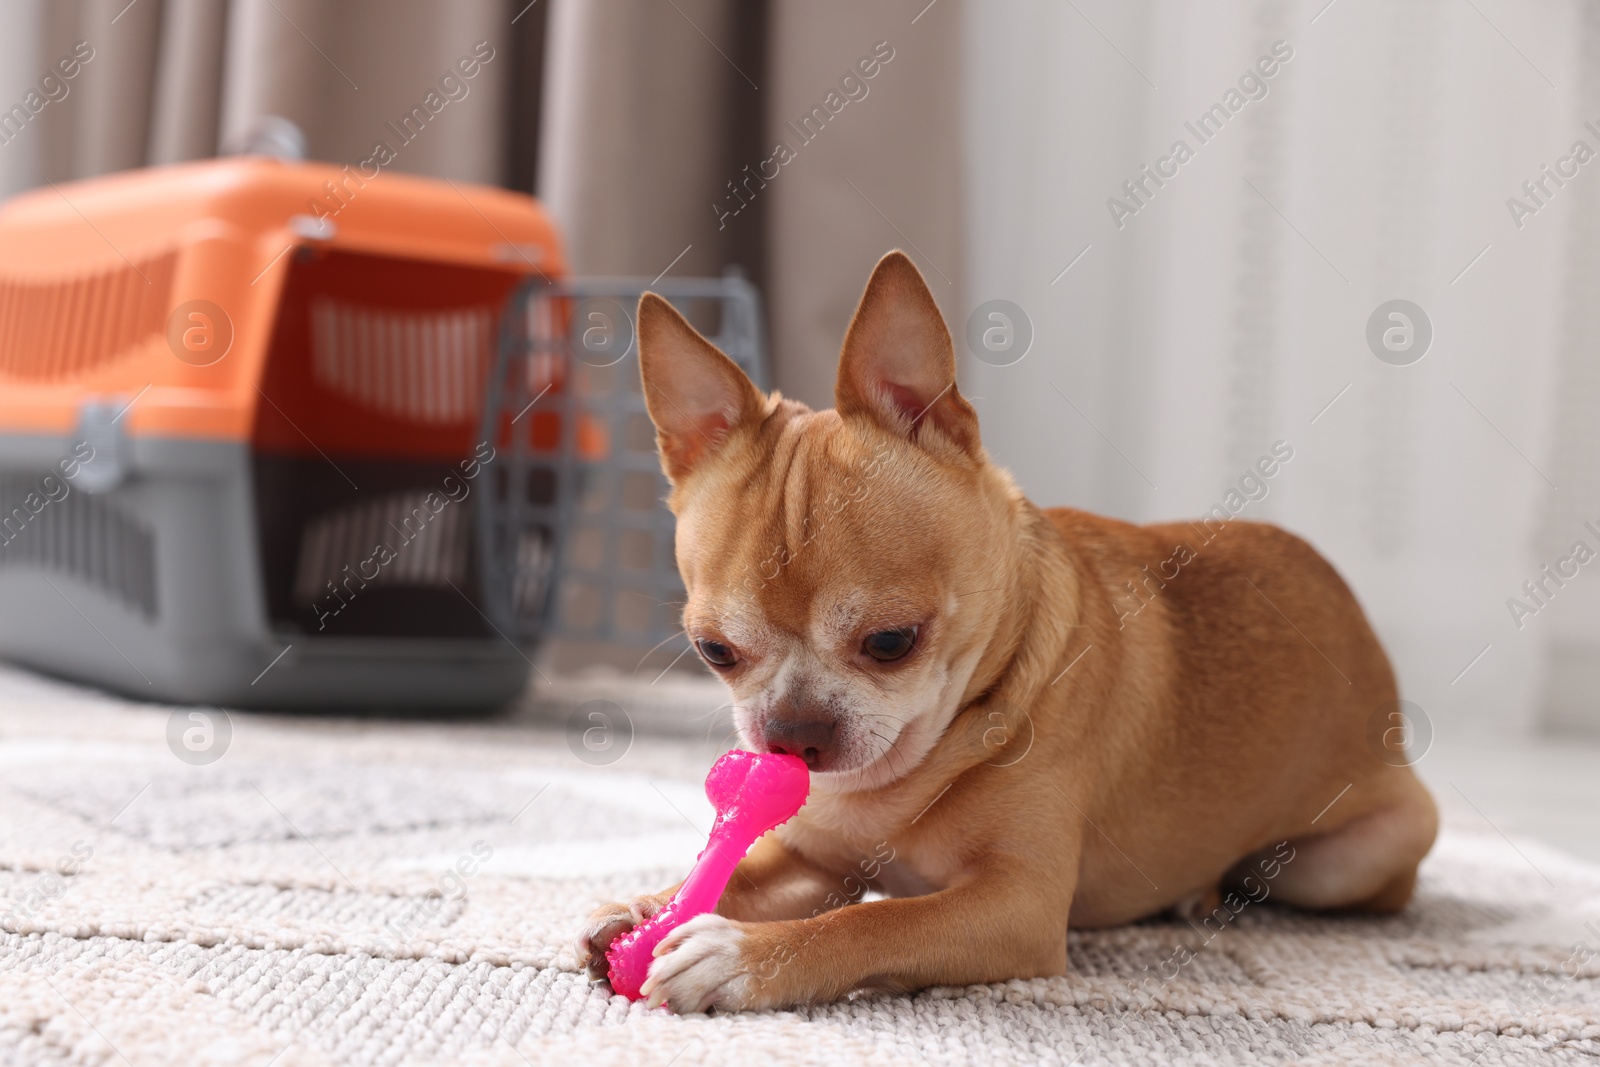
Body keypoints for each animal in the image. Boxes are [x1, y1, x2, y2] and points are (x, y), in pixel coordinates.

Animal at [576, 252, 1440, 1017]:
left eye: (892, 641)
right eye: (714, 652)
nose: (793, 734)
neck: (907, 774)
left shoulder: (1014, 907)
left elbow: (873, 919)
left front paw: (741, 956)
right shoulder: (812, 860)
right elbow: (743, 873)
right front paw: (642, 907)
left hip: (1353, 856)